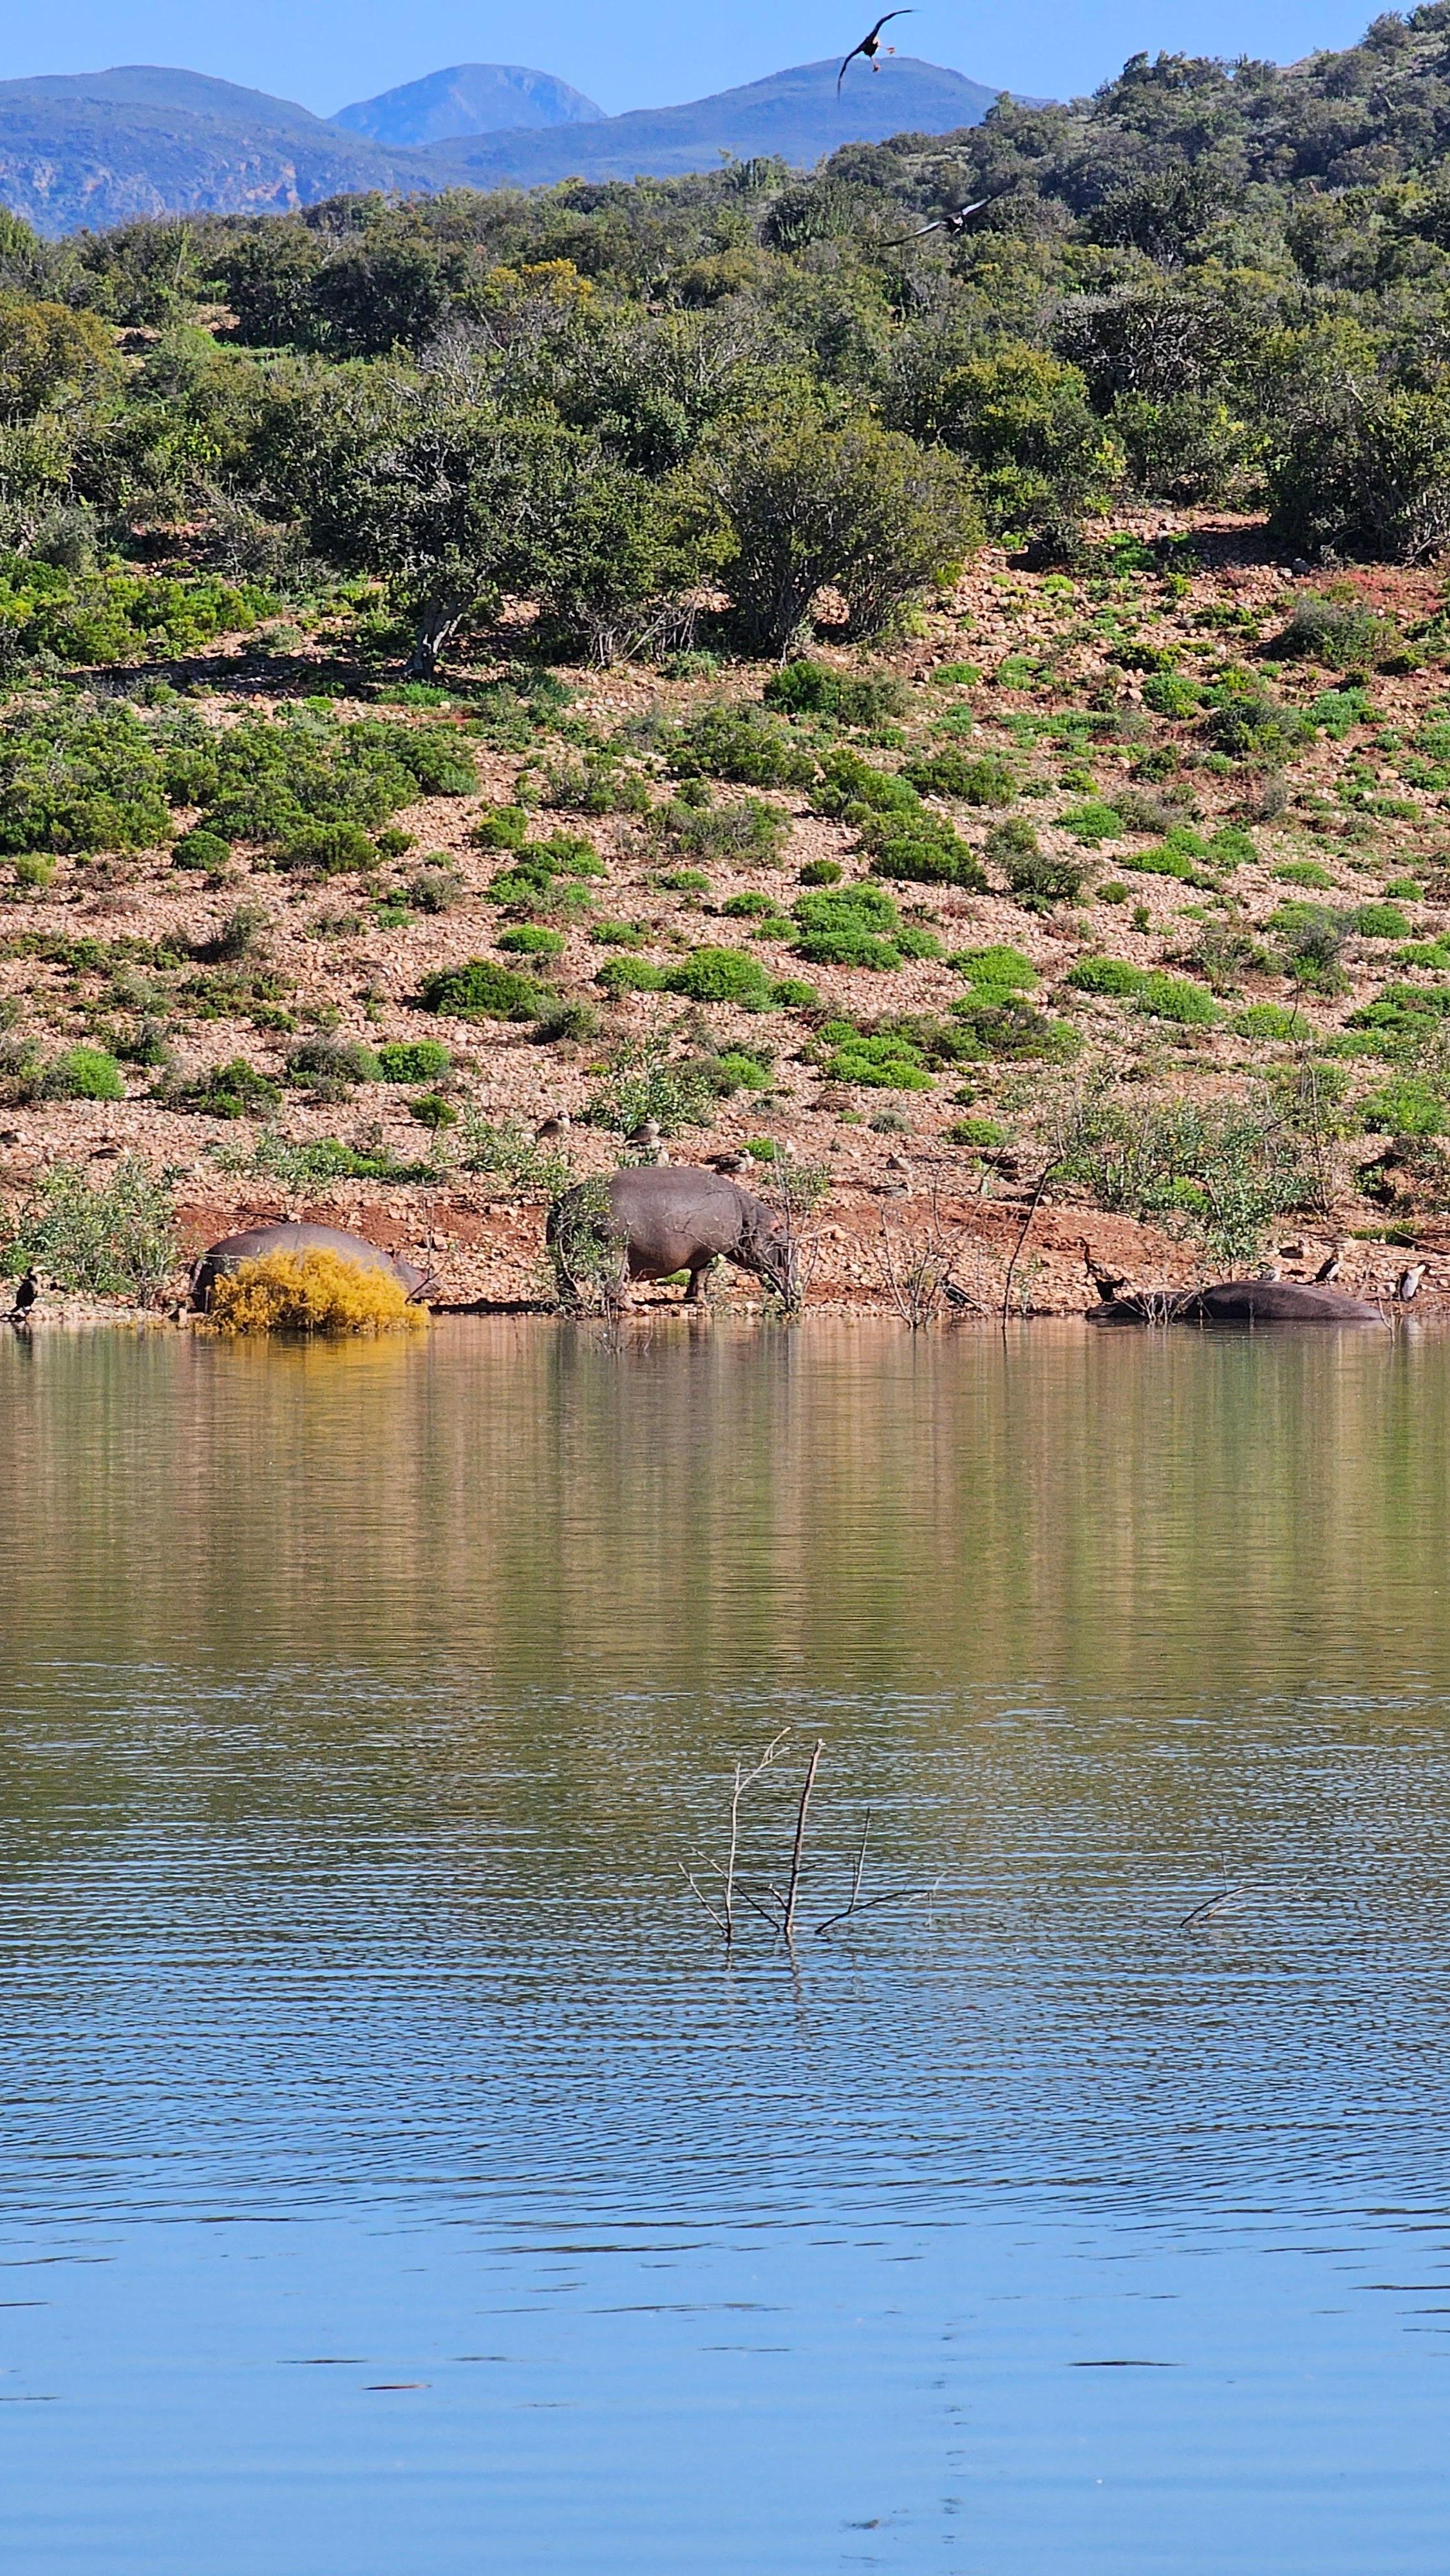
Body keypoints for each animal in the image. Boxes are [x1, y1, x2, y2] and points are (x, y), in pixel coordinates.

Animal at [549, 1170, 798, 1309]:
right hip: (613, 1250)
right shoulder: (710, 1250)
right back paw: (632, 1308)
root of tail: (569, 1204)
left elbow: (697, 1275)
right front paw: (701, 1301)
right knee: (614, 1280)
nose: (797, 1294)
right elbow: (703, 1274)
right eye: (786, 1245)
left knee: (565, 1280)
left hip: (560, 1255)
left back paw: (573, 1304)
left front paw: (691, 1299)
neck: (751, 1219)